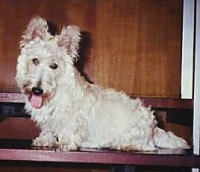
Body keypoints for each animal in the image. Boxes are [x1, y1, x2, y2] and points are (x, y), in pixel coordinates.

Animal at [15, 15, 189, 150]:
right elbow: (48, 128)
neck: (55, 91)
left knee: (143, 145)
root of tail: (153, 126)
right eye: (35, 60)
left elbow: (68, 128)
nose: (37, 90)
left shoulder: (72, 116)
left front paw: (65, 143)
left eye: (54, 66)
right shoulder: (48, 118)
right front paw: (44, 140)